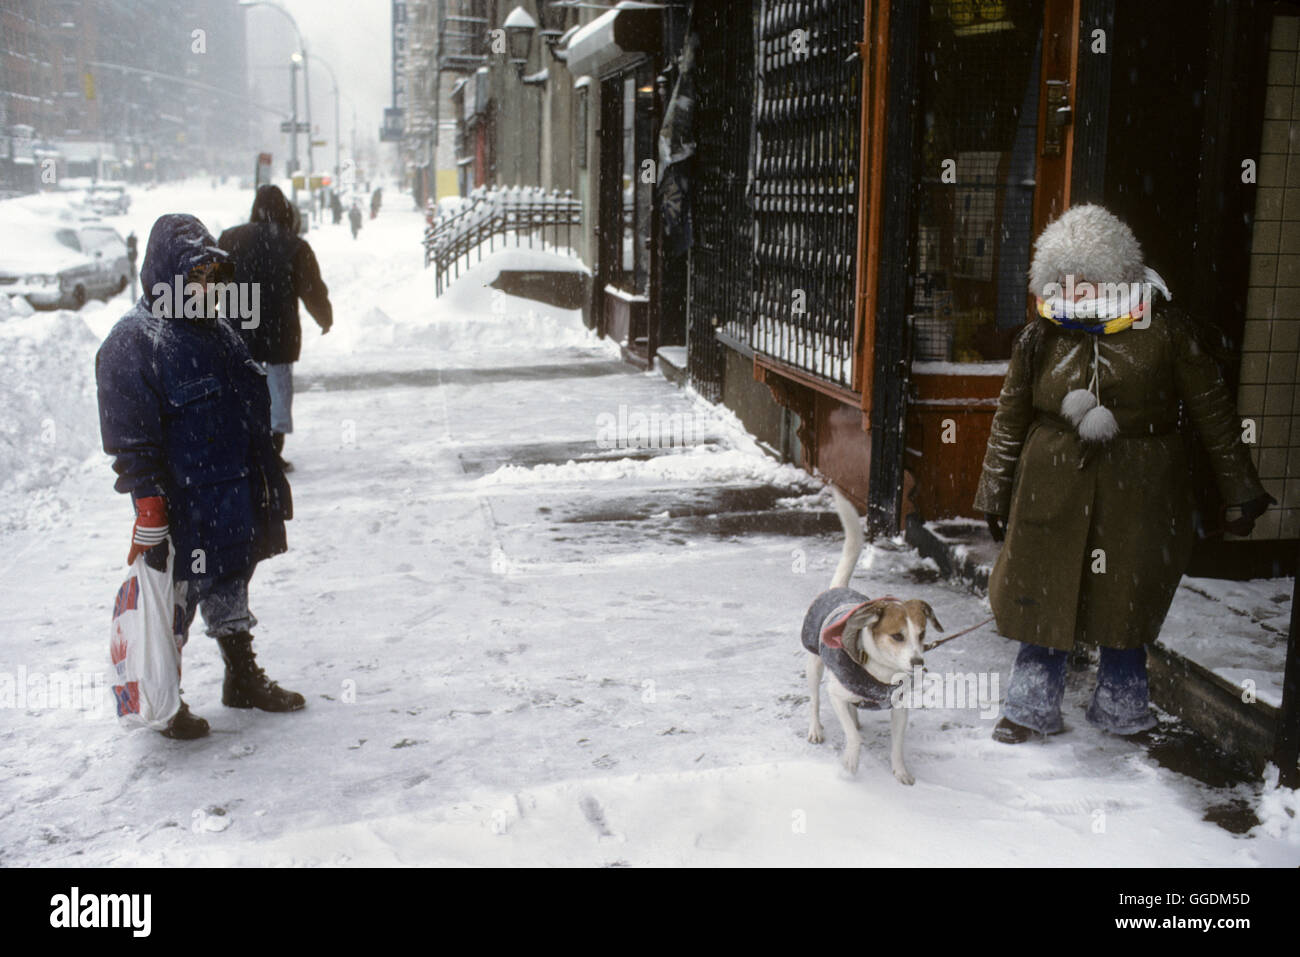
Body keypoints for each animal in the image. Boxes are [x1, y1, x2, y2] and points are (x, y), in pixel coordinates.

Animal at [795, 486, 941, 785]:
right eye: (897, 636)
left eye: (922, 634)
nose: (918, 663)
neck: (882, 671)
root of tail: (838, 588)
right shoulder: (836, 694)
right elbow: (853, 737)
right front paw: (851, 761)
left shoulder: (900, 707)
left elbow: (897, 745)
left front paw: (900, 772)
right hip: (814, 664)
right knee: (815, 701)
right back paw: (816, 729)